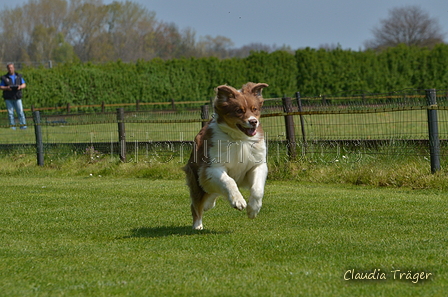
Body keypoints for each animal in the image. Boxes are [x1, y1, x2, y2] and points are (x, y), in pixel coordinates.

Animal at [183, 81, 268, 229]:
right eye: (239, 110)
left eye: (255, 109)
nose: (253, 122)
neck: (239, 139)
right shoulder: (212, 168)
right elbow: (229, 181)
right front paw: (238, 201)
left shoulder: (256, 165)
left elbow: (257, 189)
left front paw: (253, 210)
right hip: (197, 180)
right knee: (196, 204)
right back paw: (197, 225)